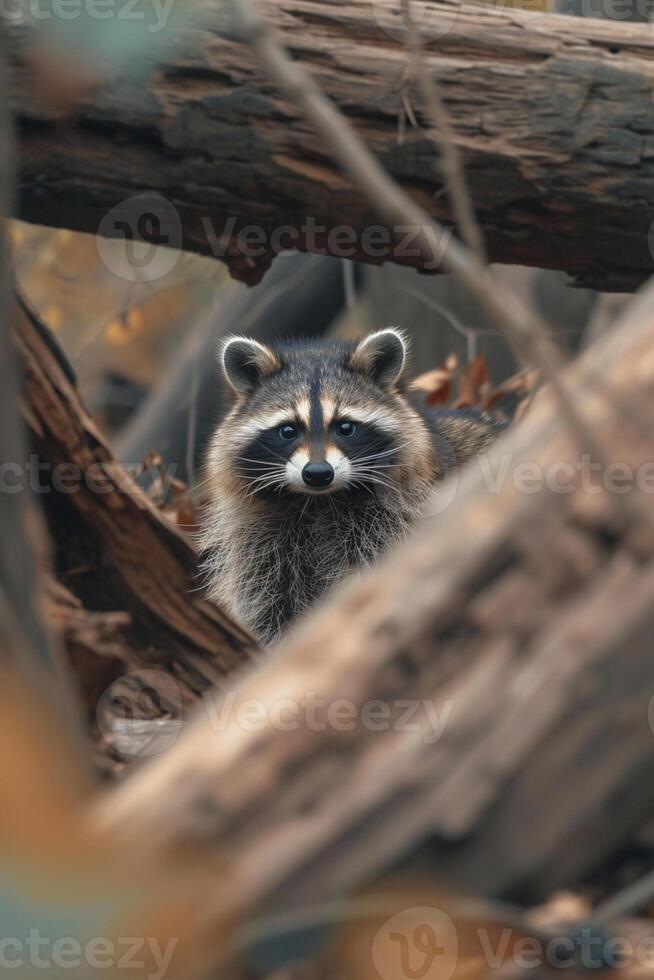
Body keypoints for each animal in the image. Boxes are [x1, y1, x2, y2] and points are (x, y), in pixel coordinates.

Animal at [201, 330, 508, 648]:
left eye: (345, 427)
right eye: (288, 430)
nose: (318, 474)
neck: (319, 500)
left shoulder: (396, 519)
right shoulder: (260, 538)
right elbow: (269, 600)